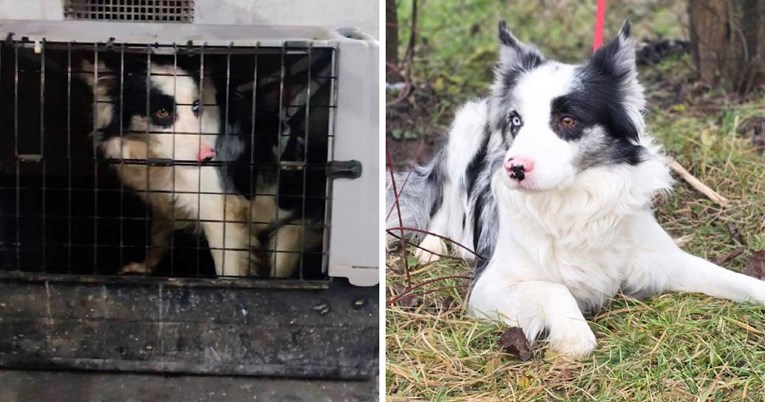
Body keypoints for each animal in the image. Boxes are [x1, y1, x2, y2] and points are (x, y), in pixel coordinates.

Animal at [384, 20, 764, 356]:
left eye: (568, 120)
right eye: (516, 121)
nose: (514, 169)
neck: (573, 203)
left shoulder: (665, 261)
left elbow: (733, 279)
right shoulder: (487, 286)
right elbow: (556, 291)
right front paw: (571, 338)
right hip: (467, 124)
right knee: (445, 200)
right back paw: (432, 247)